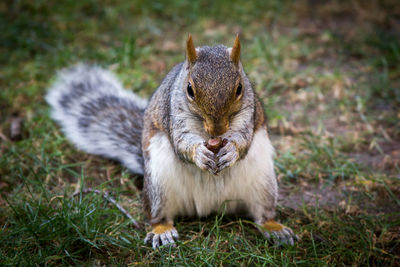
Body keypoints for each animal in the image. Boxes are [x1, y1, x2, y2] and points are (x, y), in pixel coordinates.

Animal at [46, 35, 296, 249]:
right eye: (189, 89)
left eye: (240, 88)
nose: (217, 130)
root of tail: (211, 208)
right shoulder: (174, 116)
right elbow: (182, 143)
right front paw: (199, 154)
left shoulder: (248, 116)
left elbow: (243, 140)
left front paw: (231, 151)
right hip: (158, 184)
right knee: (159, 216)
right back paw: (162, 231)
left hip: (263, 183)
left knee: (262, 214)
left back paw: (275, 229)